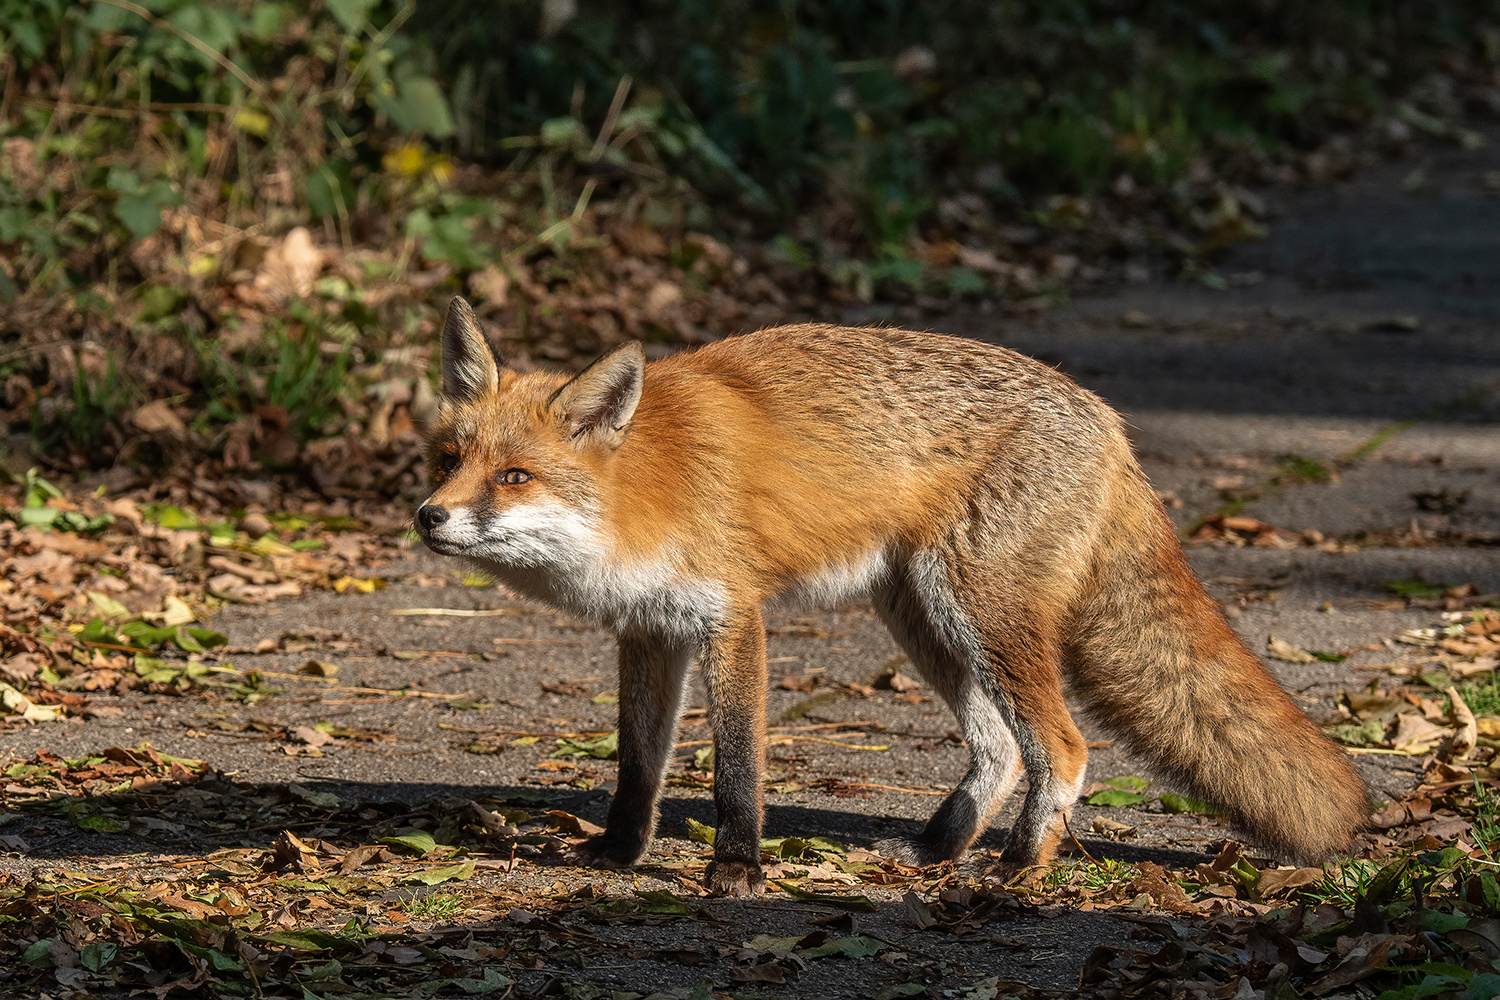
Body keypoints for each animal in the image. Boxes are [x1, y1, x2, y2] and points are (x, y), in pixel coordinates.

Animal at [414, 293, 1374, 893]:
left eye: (513, 476)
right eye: (447, 459)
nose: (429, 516)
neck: (645, 489)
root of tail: (1108, 418)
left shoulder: (733, 618)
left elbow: (737, 766)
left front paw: (738, 868)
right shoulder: (649, 633)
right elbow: (638, 762)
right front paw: (618, 852)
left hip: (978, 611)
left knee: (1061, 748)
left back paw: (1019, 868)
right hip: (922, 616)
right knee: (1001, 747)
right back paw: (937, 848)